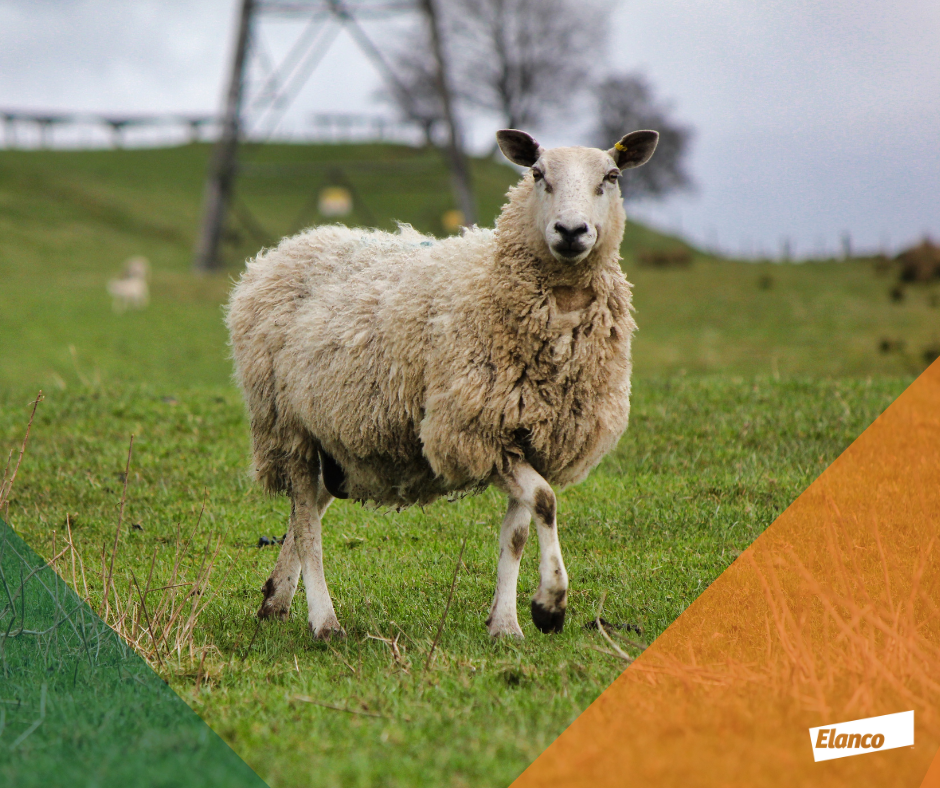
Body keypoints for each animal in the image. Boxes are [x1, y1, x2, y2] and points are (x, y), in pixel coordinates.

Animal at [226, 128, 659, 639]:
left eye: (611, 177)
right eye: (537, 174)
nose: (571, 232)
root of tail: (283, 249)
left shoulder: (528, 436)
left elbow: (518, 530)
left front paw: (506, 624)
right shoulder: (474, 430)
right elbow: (546, 502)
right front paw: (550, 606)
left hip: (335, 433)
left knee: (307, 507)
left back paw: (276, 598)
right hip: (286, 423)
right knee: (308, 522)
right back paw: (324, 620)